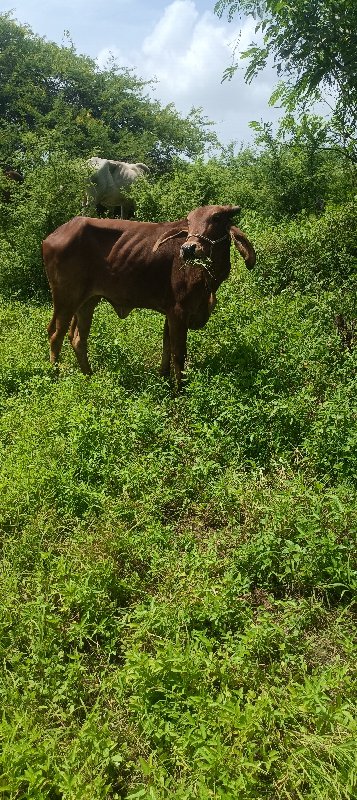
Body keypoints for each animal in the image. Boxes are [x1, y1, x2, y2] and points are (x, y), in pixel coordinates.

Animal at [43, 203, 254, 388]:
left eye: (216, 218)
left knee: (78, 338)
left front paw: (164, 378)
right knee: (55, 335)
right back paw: (54, 376)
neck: (208, 280)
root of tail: (52, 236)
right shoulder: (179, 312)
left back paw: (89, 376)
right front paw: (179, 391)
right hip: (65, 299)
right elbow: (178, 354)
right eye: (189, 221)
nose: (188, 249)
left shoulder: (171, 312)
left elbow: (166, 346)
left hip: (88, 301)